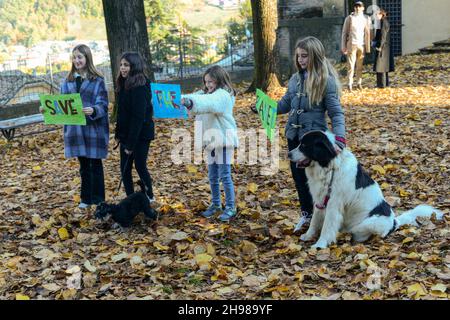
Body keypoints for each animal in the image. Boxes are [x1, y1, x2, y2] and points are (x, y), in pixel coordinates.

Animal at [288, 131, 442, 249]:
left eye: (304, 145)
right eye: (299, 143)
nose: (288, 154)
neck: (329, 168)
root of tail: (394, 222)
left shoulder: (333, 204)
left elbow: (327, 226)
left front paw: (320, 245)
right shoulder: (320, 199)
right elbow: (314, 220)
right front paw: (308, 235)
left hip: (368, 224)